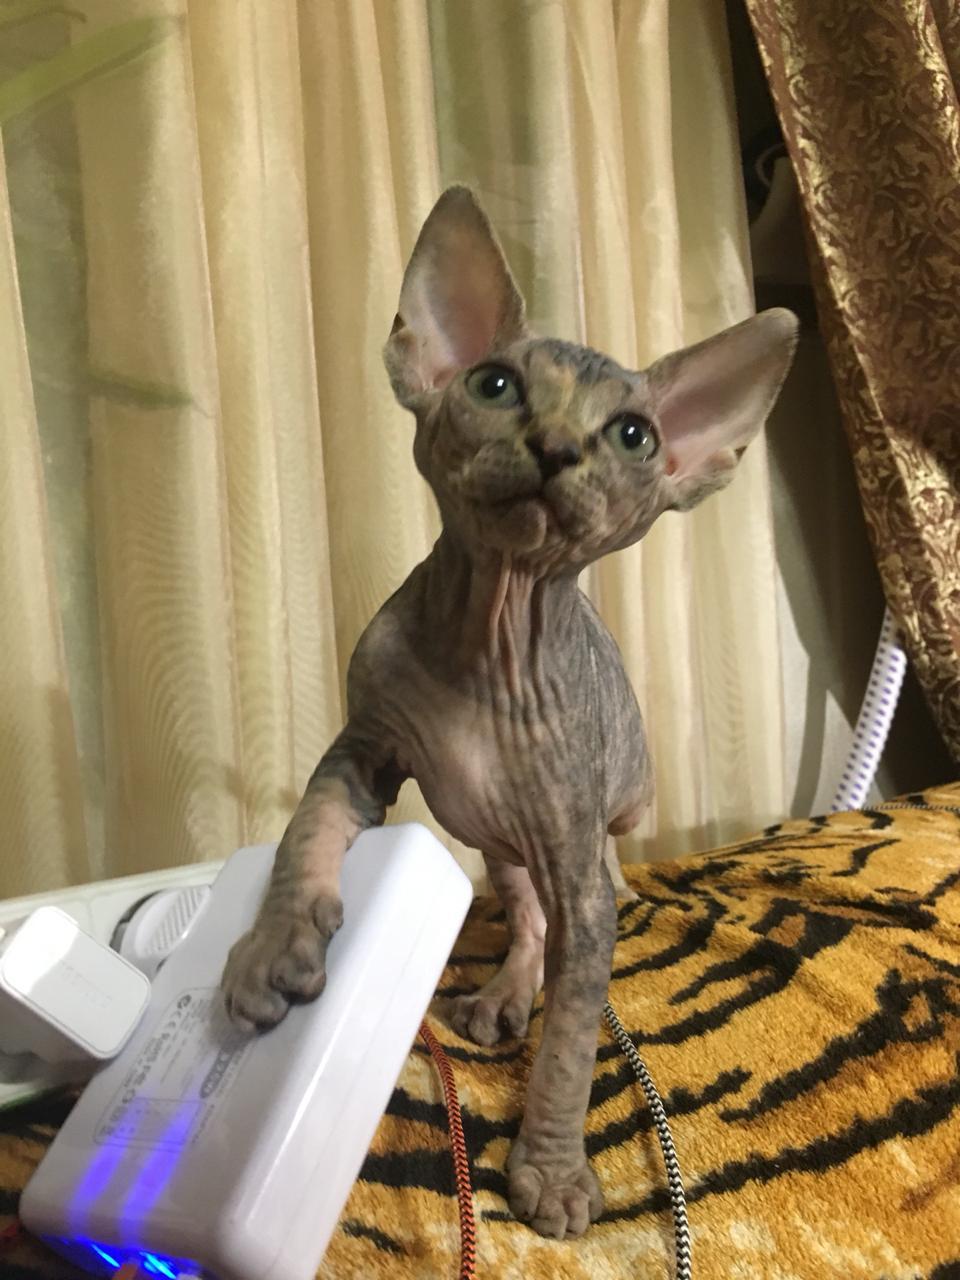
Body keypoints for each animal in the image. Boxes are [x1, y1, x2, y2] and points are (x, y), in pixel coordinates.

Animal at [221, 187, 798, 1239]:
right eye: (494, 386)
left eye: (633, 436)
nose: (557, 448)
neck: (491, 638)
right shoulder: (366, 746)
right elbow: (305, 832)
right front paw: (272, 949)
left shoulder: (573, 847)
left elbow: (574, 1032)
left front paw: (555, 1171)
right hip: (496, 844)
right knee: (524, 914)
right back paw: (500, 993)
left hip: (594, 827)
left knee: (579, 908)